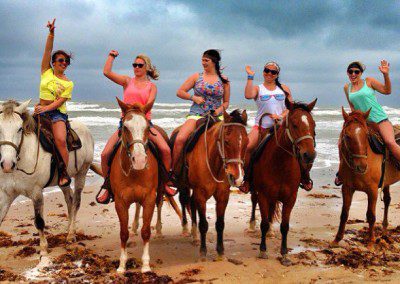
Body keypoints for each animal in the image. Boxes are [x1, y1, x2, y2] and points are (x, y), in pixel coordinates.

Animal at [0, 100, 94, 264]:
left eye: (19, 129)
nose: (7, 164)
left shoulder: (36, 192)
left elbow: (39, 221)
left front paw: (43, 250)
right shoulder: (6, 194)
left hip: (82, 172)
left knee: (76, 201)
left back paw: (71, 235)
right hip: (63, 180)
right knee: (69, 200)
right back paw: (68, 229)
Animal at [110, 98, 160, 274]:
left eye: (147, 128)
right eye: (125, 127)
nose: (139, 160)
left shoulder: (150, 199)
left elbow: (146, 231)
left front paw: (145, 265)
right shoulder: (120, 202)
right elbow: (123, 233)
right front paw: (122, 265)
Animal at [175, 110, 247, 260]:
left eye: (247, 141)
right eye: (226, 141)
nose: (237, 178)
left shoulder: (222, 196)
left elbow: (220, 224)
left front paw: (220, 251)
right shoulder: (201, 194)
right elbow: (203, 224)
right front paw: (203, 252)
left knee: (191, 203)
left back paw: (194, 235)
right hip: (184, 185)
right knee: (184, 200)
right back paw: (185, 228)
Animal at [253, 98, 316, 266]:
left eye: (313, 124)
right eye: (294, 125)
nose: (309, 155)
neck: (280, 163)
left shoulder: (290, 198)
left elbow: (285, 226)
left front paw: (284, 254)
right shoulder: (263, 195)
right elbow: (263, 223)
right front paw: (262, 250)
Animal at [332, 108, 400, 248]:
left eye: (366, 135)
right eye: (347, 136)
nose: (361, 166)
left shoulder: (372, 191)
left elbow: (371, 215)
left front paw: (371, 241)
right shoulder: (347, 188)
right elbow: (344, 214)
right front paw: (337, 239)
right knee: (387, 200)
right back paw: (384, 231)